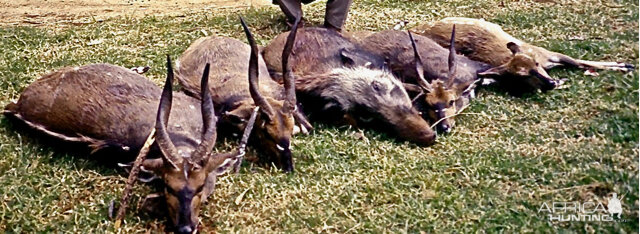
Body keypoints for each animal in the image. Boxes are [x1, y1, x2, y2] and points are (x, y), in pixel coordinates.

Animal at [412, 16, 632, 95]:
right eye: (521, 76)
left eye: (536, 64)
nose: (550, 82)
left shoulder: (547, 54)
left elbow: (579, 62)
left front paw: (624, 65)